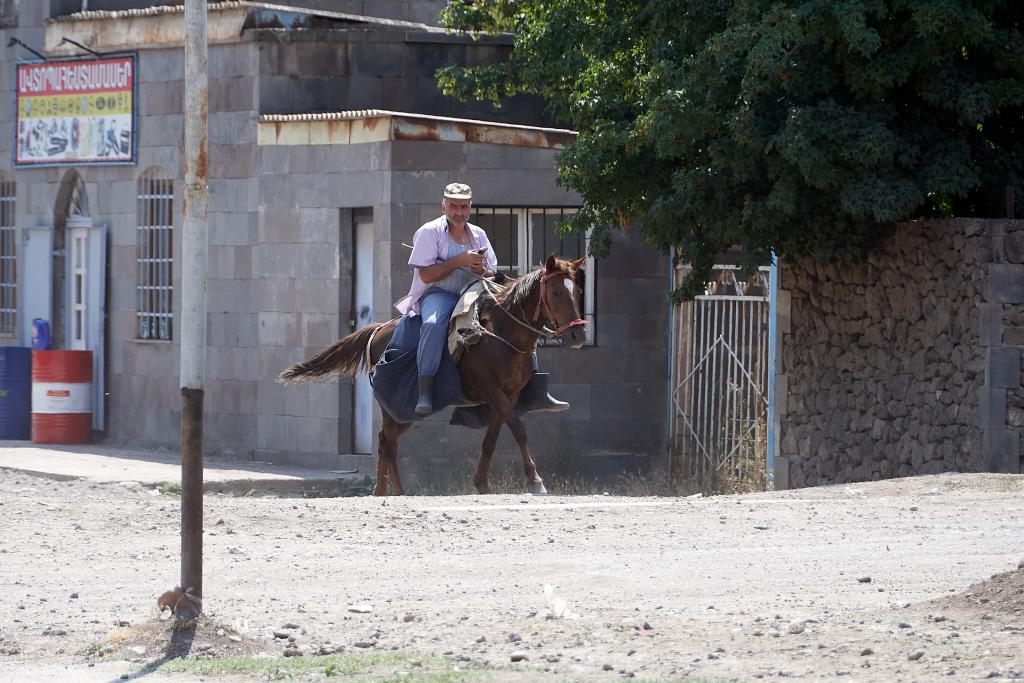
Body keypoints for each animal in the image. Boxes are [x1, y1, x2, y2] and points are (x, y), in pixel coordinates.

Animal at [280, 255, 589, 497]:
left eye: (577, 290)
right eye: (556, 292)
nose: (578, 335)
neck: (500, 333)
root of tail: (378, 329)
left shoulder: (507, 397)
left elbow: (491, 439)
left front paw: (482, 484)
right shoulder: (492, 392)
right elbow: (520, 430)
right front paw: (535, 481)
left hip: (402, 412)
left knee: (385, 441)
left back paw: (386, 491)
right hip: (396, 406)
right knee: (386, 442)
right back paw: (391, 492)